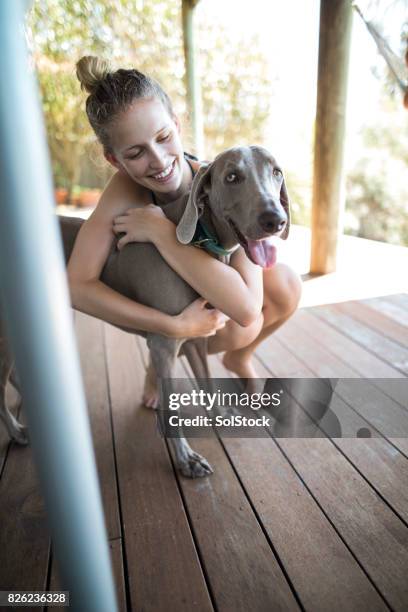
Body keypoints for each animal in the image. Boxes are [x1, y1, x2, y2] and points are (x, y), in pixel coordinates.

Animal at [0, 147, 290, 478]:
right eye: (232, 177)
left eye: (276, 172)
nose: (275, 220)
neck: (198, 239)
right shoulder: (165, 342)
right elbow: (171, 406)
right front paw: (186, 459)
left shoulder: (196, 336)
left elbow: (207, 380)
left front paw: (221, 416)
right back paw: (18, 431)